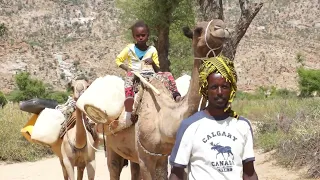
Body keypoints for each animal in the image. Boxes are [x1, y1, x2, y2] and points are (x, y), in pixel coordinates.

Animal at [86, 18, 229, 180]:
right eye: (198, 30)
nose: (221, 27)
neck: (165, 117)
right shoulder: (145, 157)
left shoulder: (162, 157)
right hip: (111, 144)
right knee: (114, 167)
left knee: (133, 170)